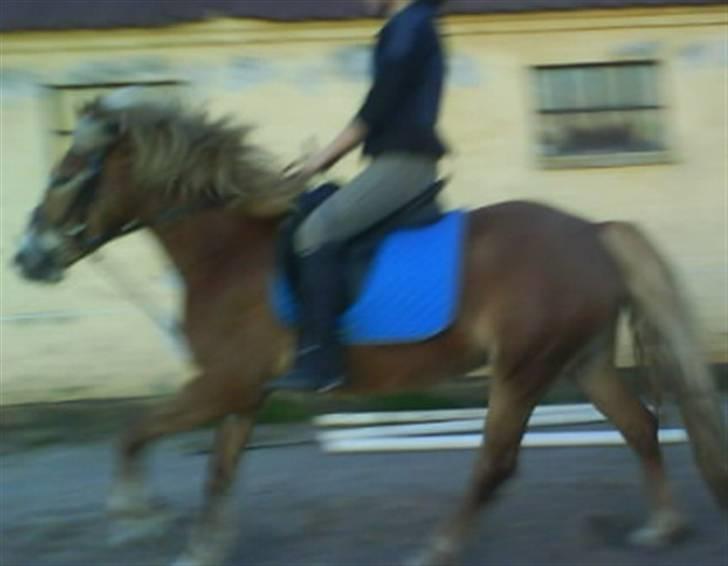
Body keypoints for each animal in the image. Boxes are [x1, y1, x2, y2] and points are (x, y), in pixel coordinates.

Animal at [12, 89, 728, 566]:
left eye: (67, 174)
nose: (27, 258)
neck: (228, 251)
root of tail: (592, 231)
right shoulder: (243, 394)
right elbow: (218, 470)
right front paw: (202, 550)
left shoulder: (222, 385)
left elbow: (133, 435)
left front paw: (134, 520)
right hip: (581, 360)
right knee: (638, 428)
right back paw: (662, 527)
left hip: (524, 368)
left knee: (496, 461)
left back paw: (439, 547)